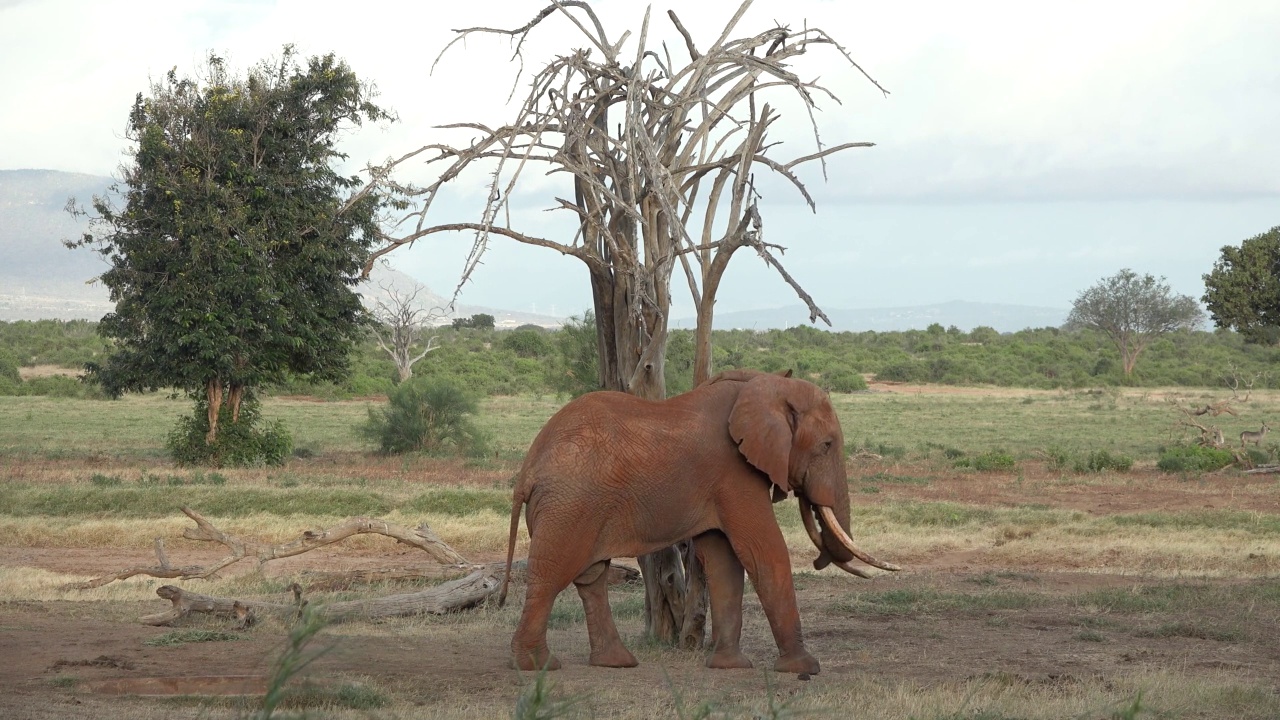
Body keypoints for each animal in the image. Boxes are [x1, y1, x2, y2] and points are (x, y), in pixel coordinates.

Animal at [499, 368, 901, 671]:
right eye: (827, 445)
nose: (820, 559)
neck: (763, 384)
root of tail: (528, 467)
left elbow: (724, 561)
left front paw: (729, 666)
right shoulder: (734, 473)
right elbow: (763, 551)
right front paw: (804, 668)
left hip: (575, 506)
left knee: (591, 576)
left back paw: (615, 663)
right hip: (569, 504)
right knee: (552, 574)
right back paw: (536, 666)